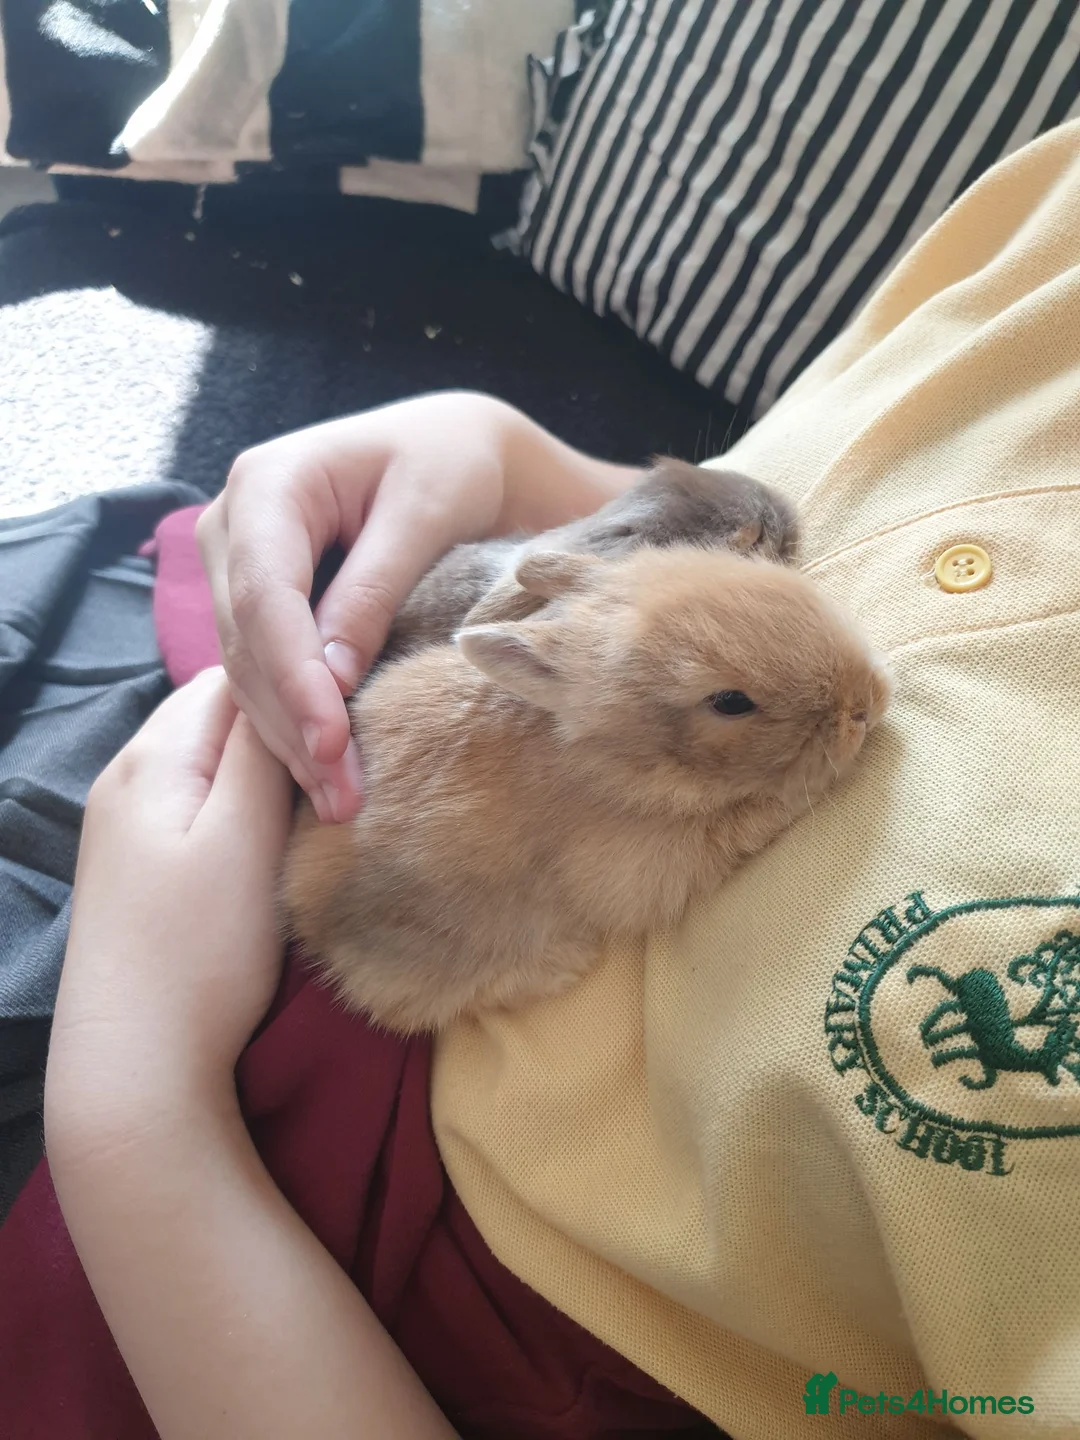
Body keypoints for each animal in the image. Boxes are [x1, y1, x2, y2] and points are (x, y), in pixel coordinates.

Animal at [283, 544, 891, 1035]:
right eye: (729, 702)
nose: (867, 703)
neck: (619, 757)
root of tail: (304, 916)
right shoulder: (637, 866)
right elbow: (733, 829)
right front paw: (804, 790)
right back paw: (564, 962)